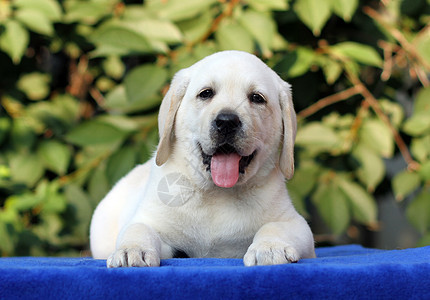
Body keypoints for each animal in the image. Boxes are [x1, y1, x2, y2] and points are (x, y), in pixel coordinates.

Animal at [89, 49, 314, 268]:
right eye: (206, 93)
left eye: (257, 98)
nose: (227, 121)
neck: (217, 195)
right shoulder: (149, 219)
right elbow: (138, 229)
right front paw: (132, 250)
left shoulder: (295, 224)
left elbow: (274, 227)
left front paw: (270, 249)